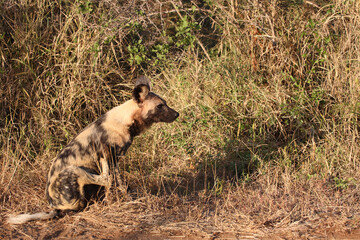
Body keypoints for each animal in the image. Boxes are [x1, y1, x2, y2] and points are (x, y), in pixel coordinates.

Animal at [7, 75, 179, 225]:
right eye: (160, 106)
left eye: (165, 103)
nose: (177, 114)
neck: (126, 121)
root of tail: (55, 207)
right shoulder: (109, 156)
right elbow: (113, 180)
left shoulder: (115, 159)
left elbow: (120, 183)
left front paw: (127, 197)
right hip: (74, 170)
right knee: (104, 177)